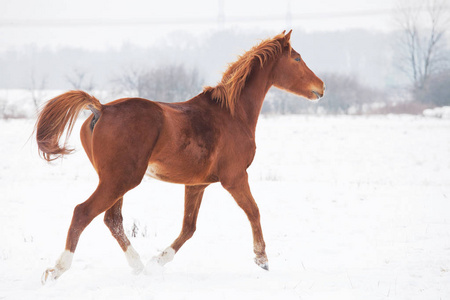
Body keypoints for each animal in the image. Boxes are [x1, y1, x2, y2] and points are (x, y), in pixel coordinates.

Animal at [35, 30, 324, 284]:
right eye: (297, 58)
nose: (321, 87)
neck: (233, 114)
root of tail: (101, 108)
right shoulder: (235, 177)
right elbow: (253, 211)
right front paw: (262, 259)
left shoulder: (196, 184)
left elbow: (188, 228)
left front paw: (157, 261)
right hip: (120, 180)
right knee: (83, 213)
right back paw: (56, 271)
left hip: (116, 180)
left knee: (112, 220)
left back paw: (140, 267)